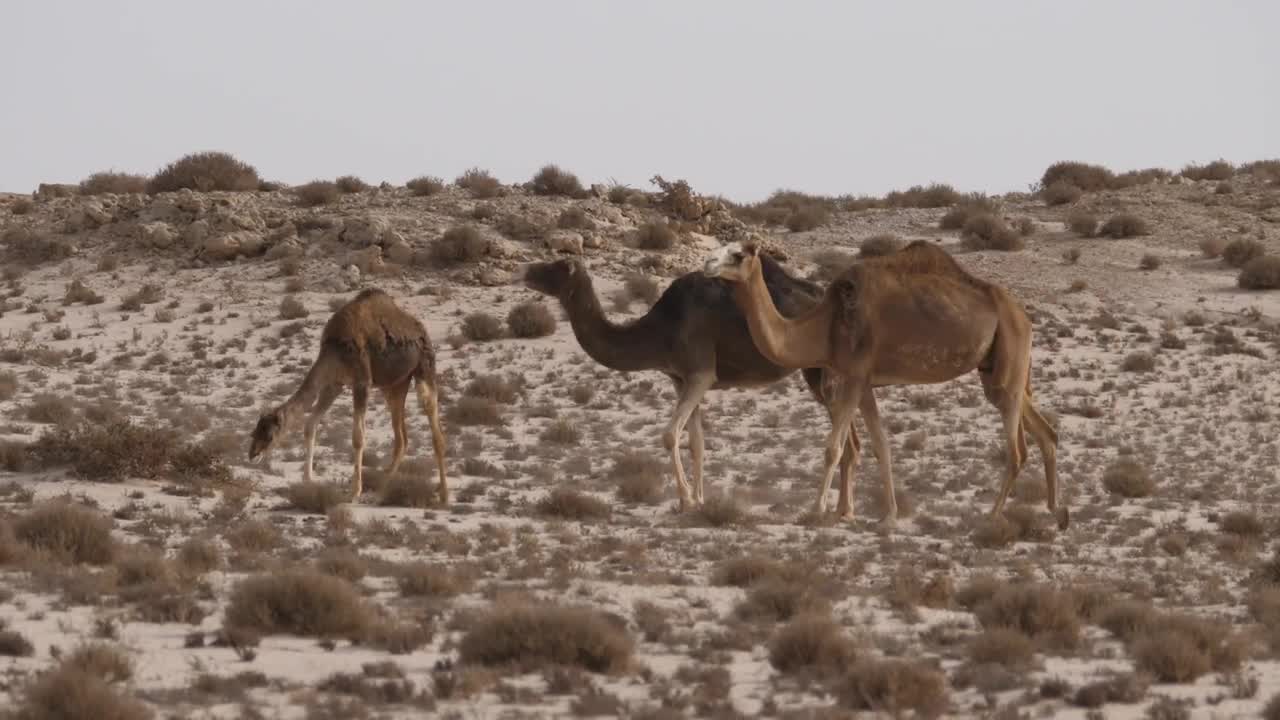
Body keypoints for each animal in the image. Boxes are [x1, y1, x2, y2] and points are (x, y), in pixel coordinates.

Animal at [248, 288, 450, 502]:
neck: (335, 348)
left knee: (434, 427)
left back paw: (444, 494)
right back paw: (381, 488)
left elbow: (358, 437)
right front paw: (308, 479)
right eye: (255, 431)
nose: (253, 454)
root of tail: (420, 330)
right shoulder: (334, 384)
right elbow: (310, 424)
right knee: (401, 438)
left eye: (269, 434)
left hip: (424, 367)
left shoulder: (361, 382)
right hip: (396, 384)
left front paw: (354, 492)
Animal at [514, 254, 896, 517]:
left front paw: (684, 499)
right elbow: (696, 442)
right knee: (853, 440)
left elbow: (670, 435)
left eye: (556, 266)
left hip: (824, 372)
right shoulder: (681, 378)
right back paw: (843, 510)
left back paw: (836, 510)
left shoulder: (700, 372)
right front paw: (699, 499)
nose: (526, 271)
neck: (661, 328)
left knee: (848, 441)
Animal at [701, 238, 1059, 525]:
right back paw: (1057, 513)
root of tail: (1023, 315)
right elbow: (881, 445)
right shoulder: (865, 383)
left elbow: (833, 448)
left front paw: (817, 510)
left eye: (737, 254)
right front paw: (889, 515)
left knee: (1016, 449)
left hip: (1009, 354)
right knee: (1045, 431)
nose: (706, 263)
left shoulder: (854, 374)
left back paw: (992, 516)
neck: (826, 327)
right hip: (998, 368)